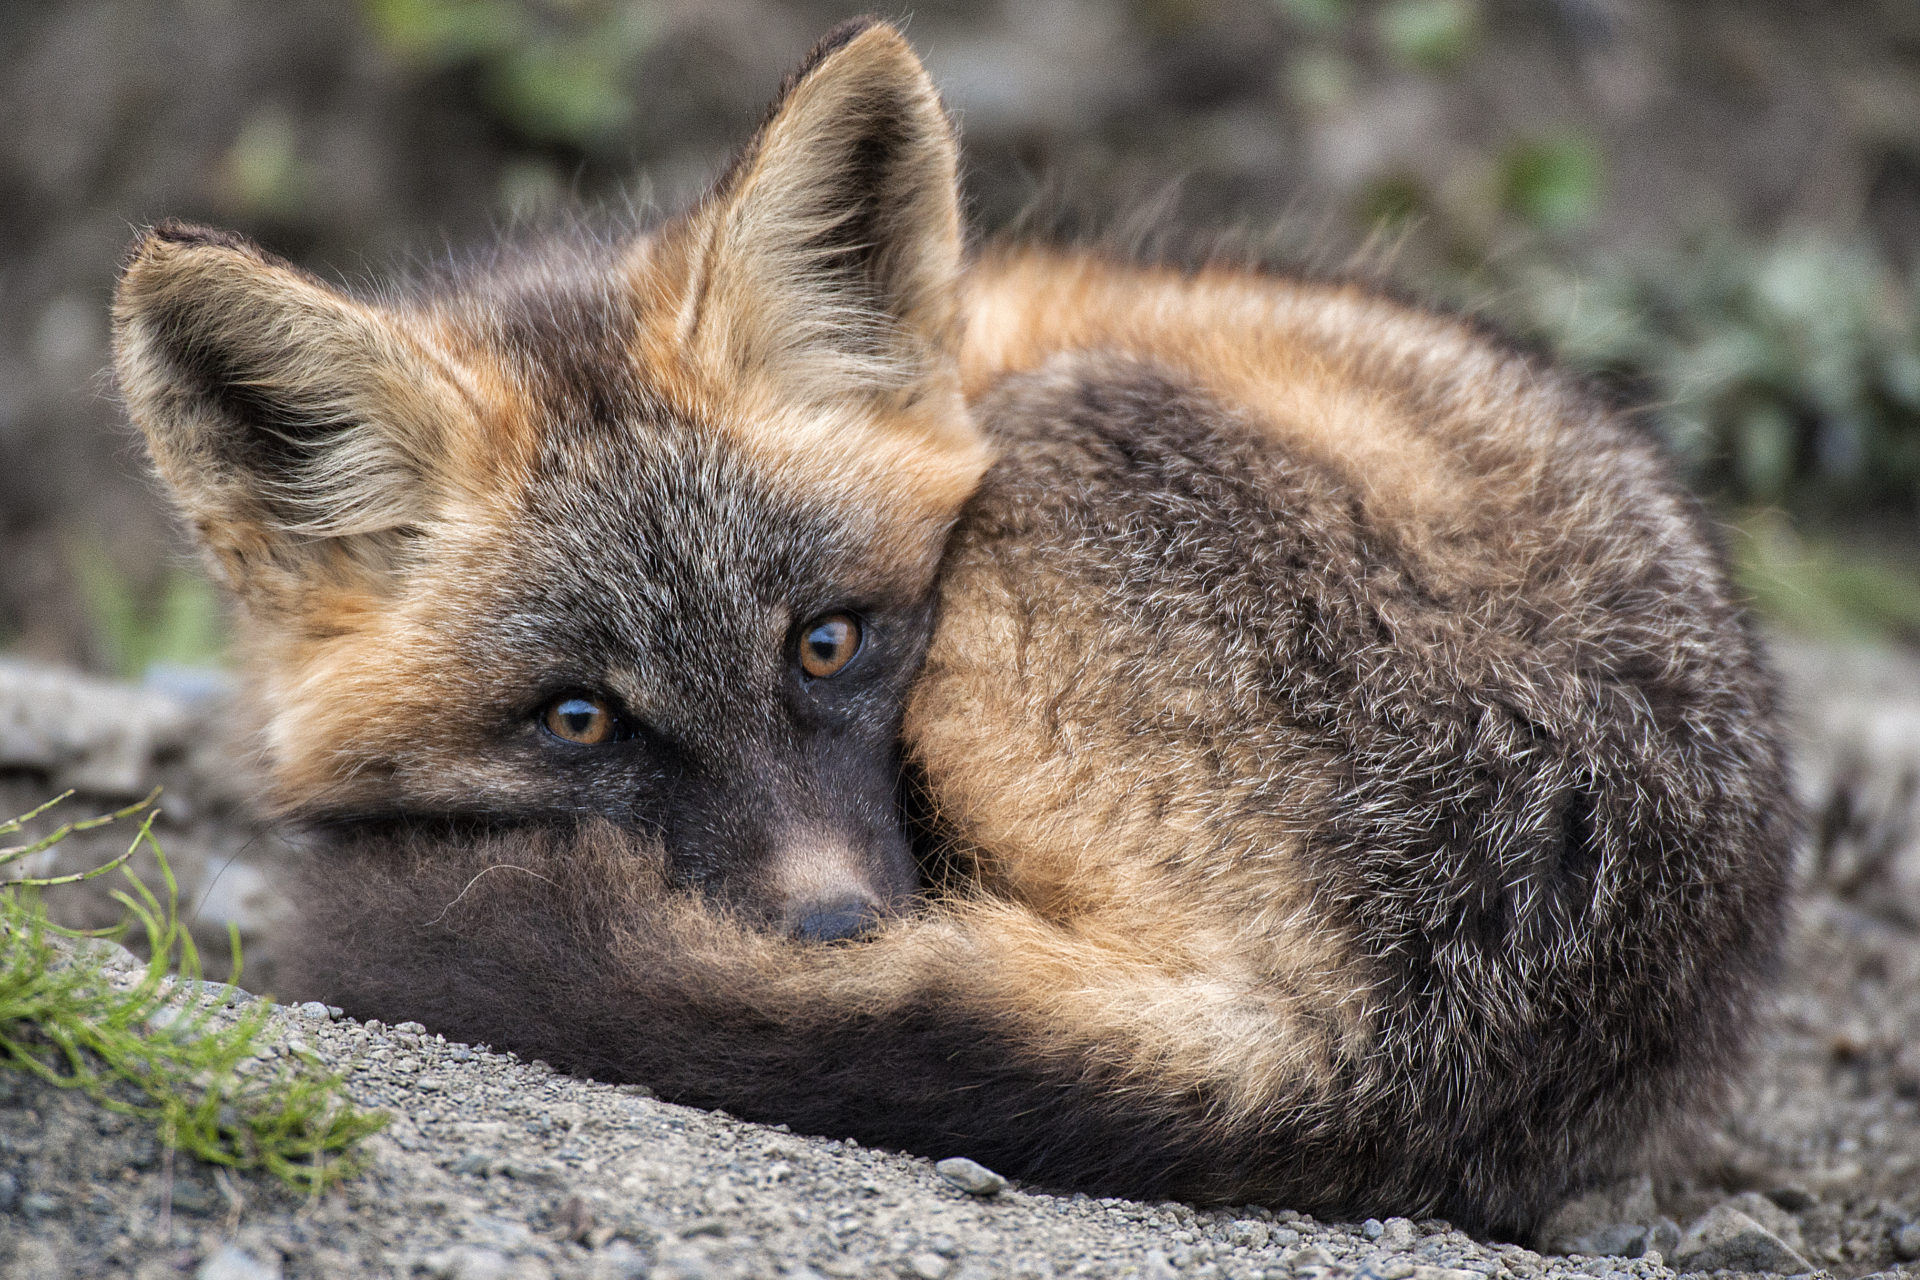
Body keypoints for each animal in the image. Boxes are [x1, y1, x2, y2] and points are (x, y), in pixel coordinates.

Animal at [116, 17, 1797, 1243]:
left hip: (1070, 455)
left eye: (828, 641)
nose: (832, 938)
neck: (966, 349)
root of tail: (1390, 1045)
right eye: (577, 720)